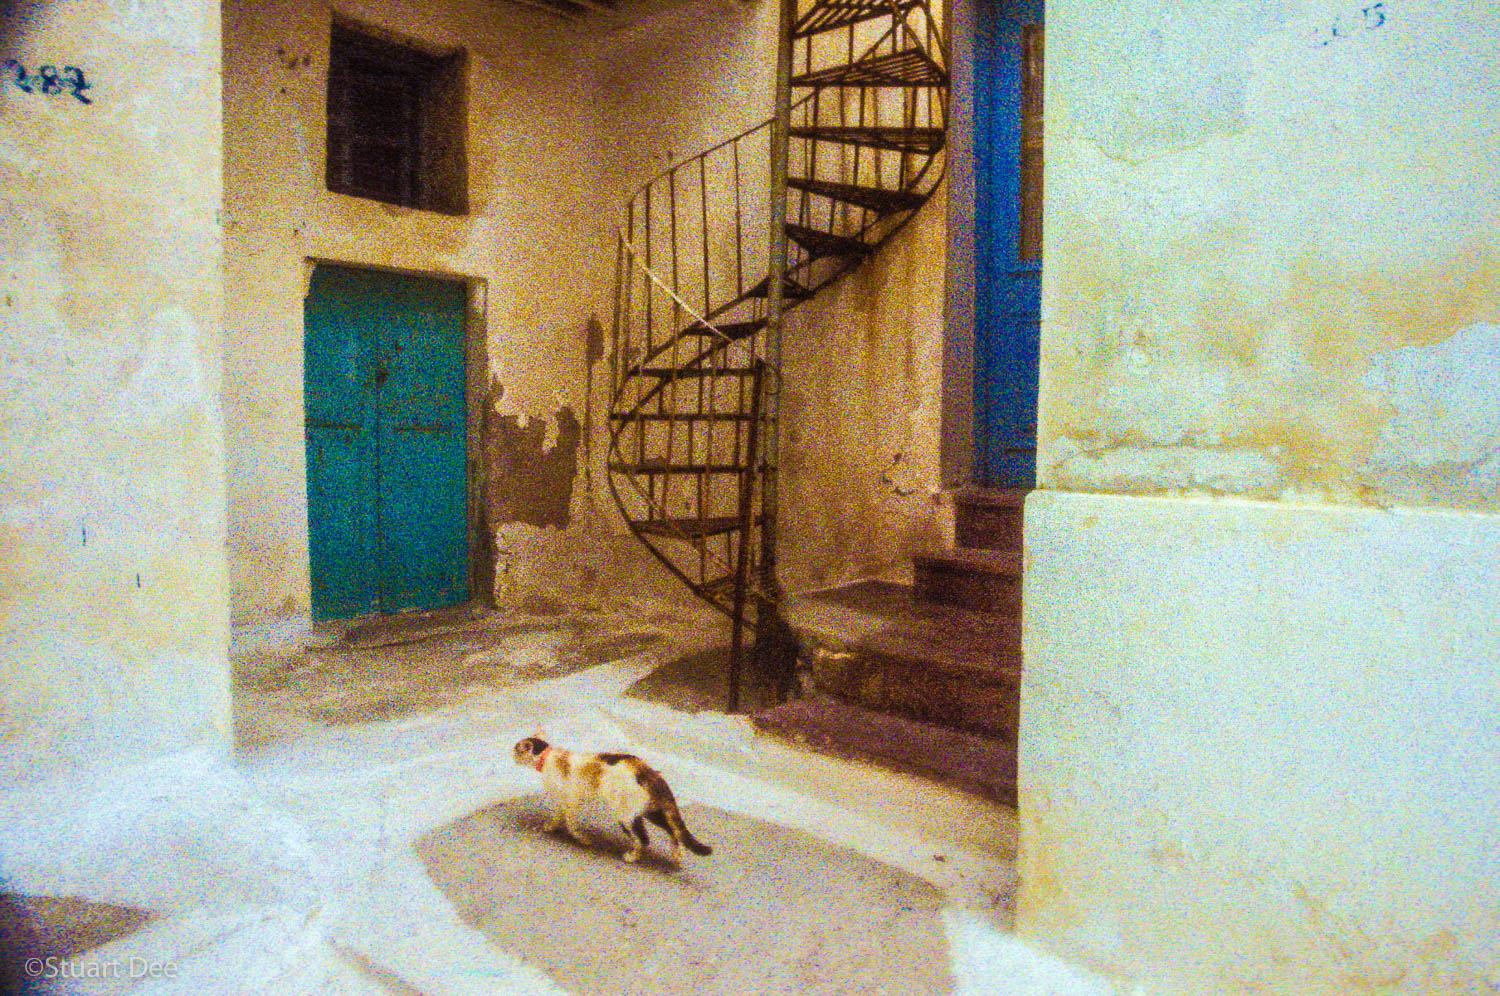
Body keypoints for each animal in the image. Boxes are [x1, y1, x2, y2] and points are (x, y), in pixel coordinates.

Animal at [516, 735, 714, 870]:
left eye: (516, 748)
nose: (511, 753)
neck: (547, 757)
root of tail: (646, 771)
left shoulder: (570, 799)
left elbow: (570, 823)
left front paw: (580, 838)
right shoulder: (564, 799)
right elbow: (559, 815)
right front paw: (552, 826)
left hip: (626, 815)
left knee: (644, 839)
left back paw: (632, 856)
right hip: (653, 811)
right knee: (673, 831)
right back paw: (677, 857)